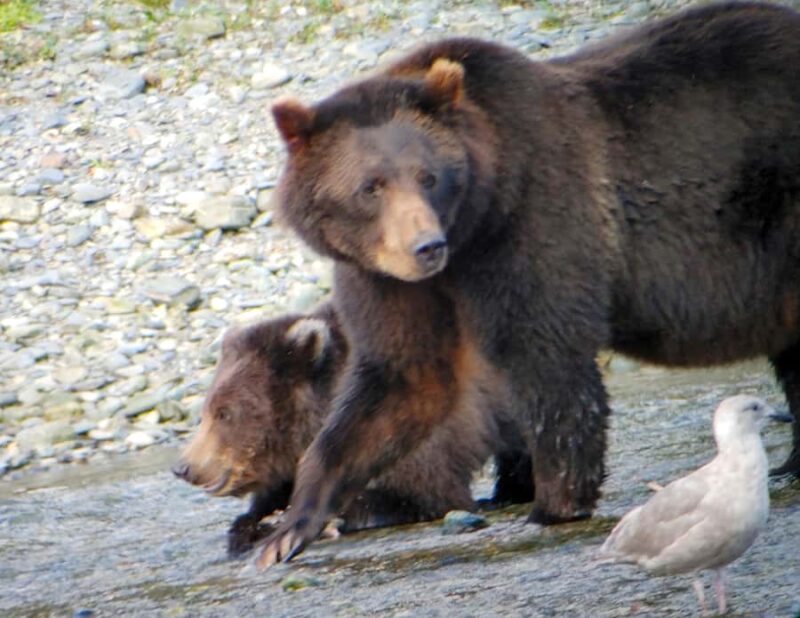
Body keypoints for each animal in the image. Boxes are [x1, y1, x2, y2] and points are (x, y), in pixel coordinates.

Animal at [257, 1, 800, 568]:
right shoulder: (390, 282)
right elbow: (399, 383)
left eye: (428, 176)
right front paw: (287, 530)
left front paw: (554, 504)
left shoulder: (528, 223)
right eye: (371, 186)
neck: (471, 227)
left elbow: (547, 358)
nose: (426, 246)